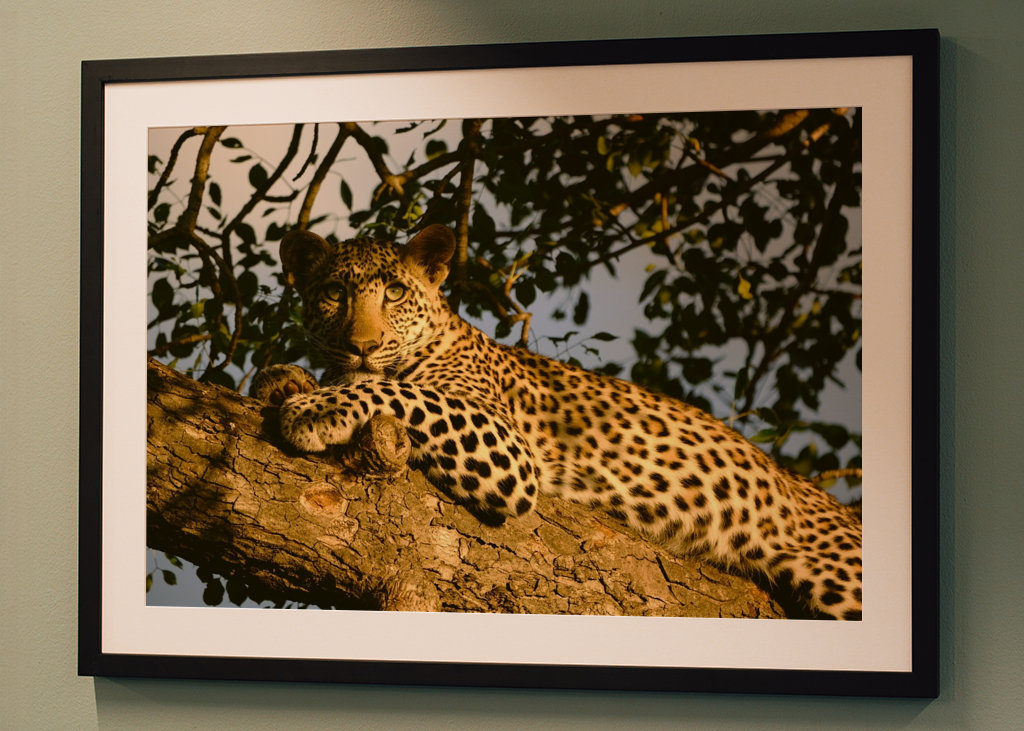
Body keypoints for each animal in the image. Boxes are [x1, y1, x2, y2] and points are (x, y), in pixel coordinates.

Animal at [253, 223, 863, 620]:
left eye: (396, 292)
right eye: (334, 294)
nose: (363, 345)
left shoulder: (507, 448)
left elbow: (399, 389)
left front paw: (315, 408)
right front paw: (284, 379)